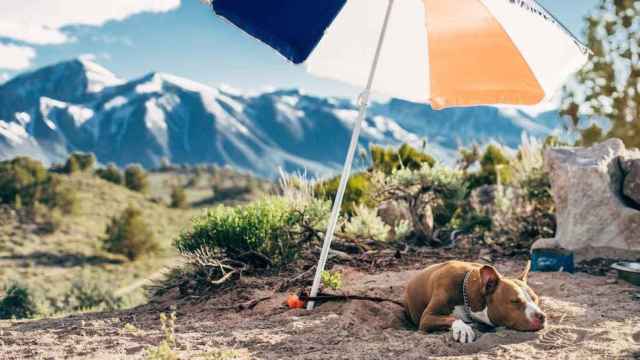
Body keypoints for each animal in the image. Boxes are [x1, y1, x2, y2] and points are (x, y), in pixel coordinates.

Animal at [404, 260, 544, 342]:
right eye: (515, 301)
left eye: (536, 299)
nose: (542, 316)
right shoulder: (426, 318)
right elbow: (451, 318)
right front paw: (463, 329)